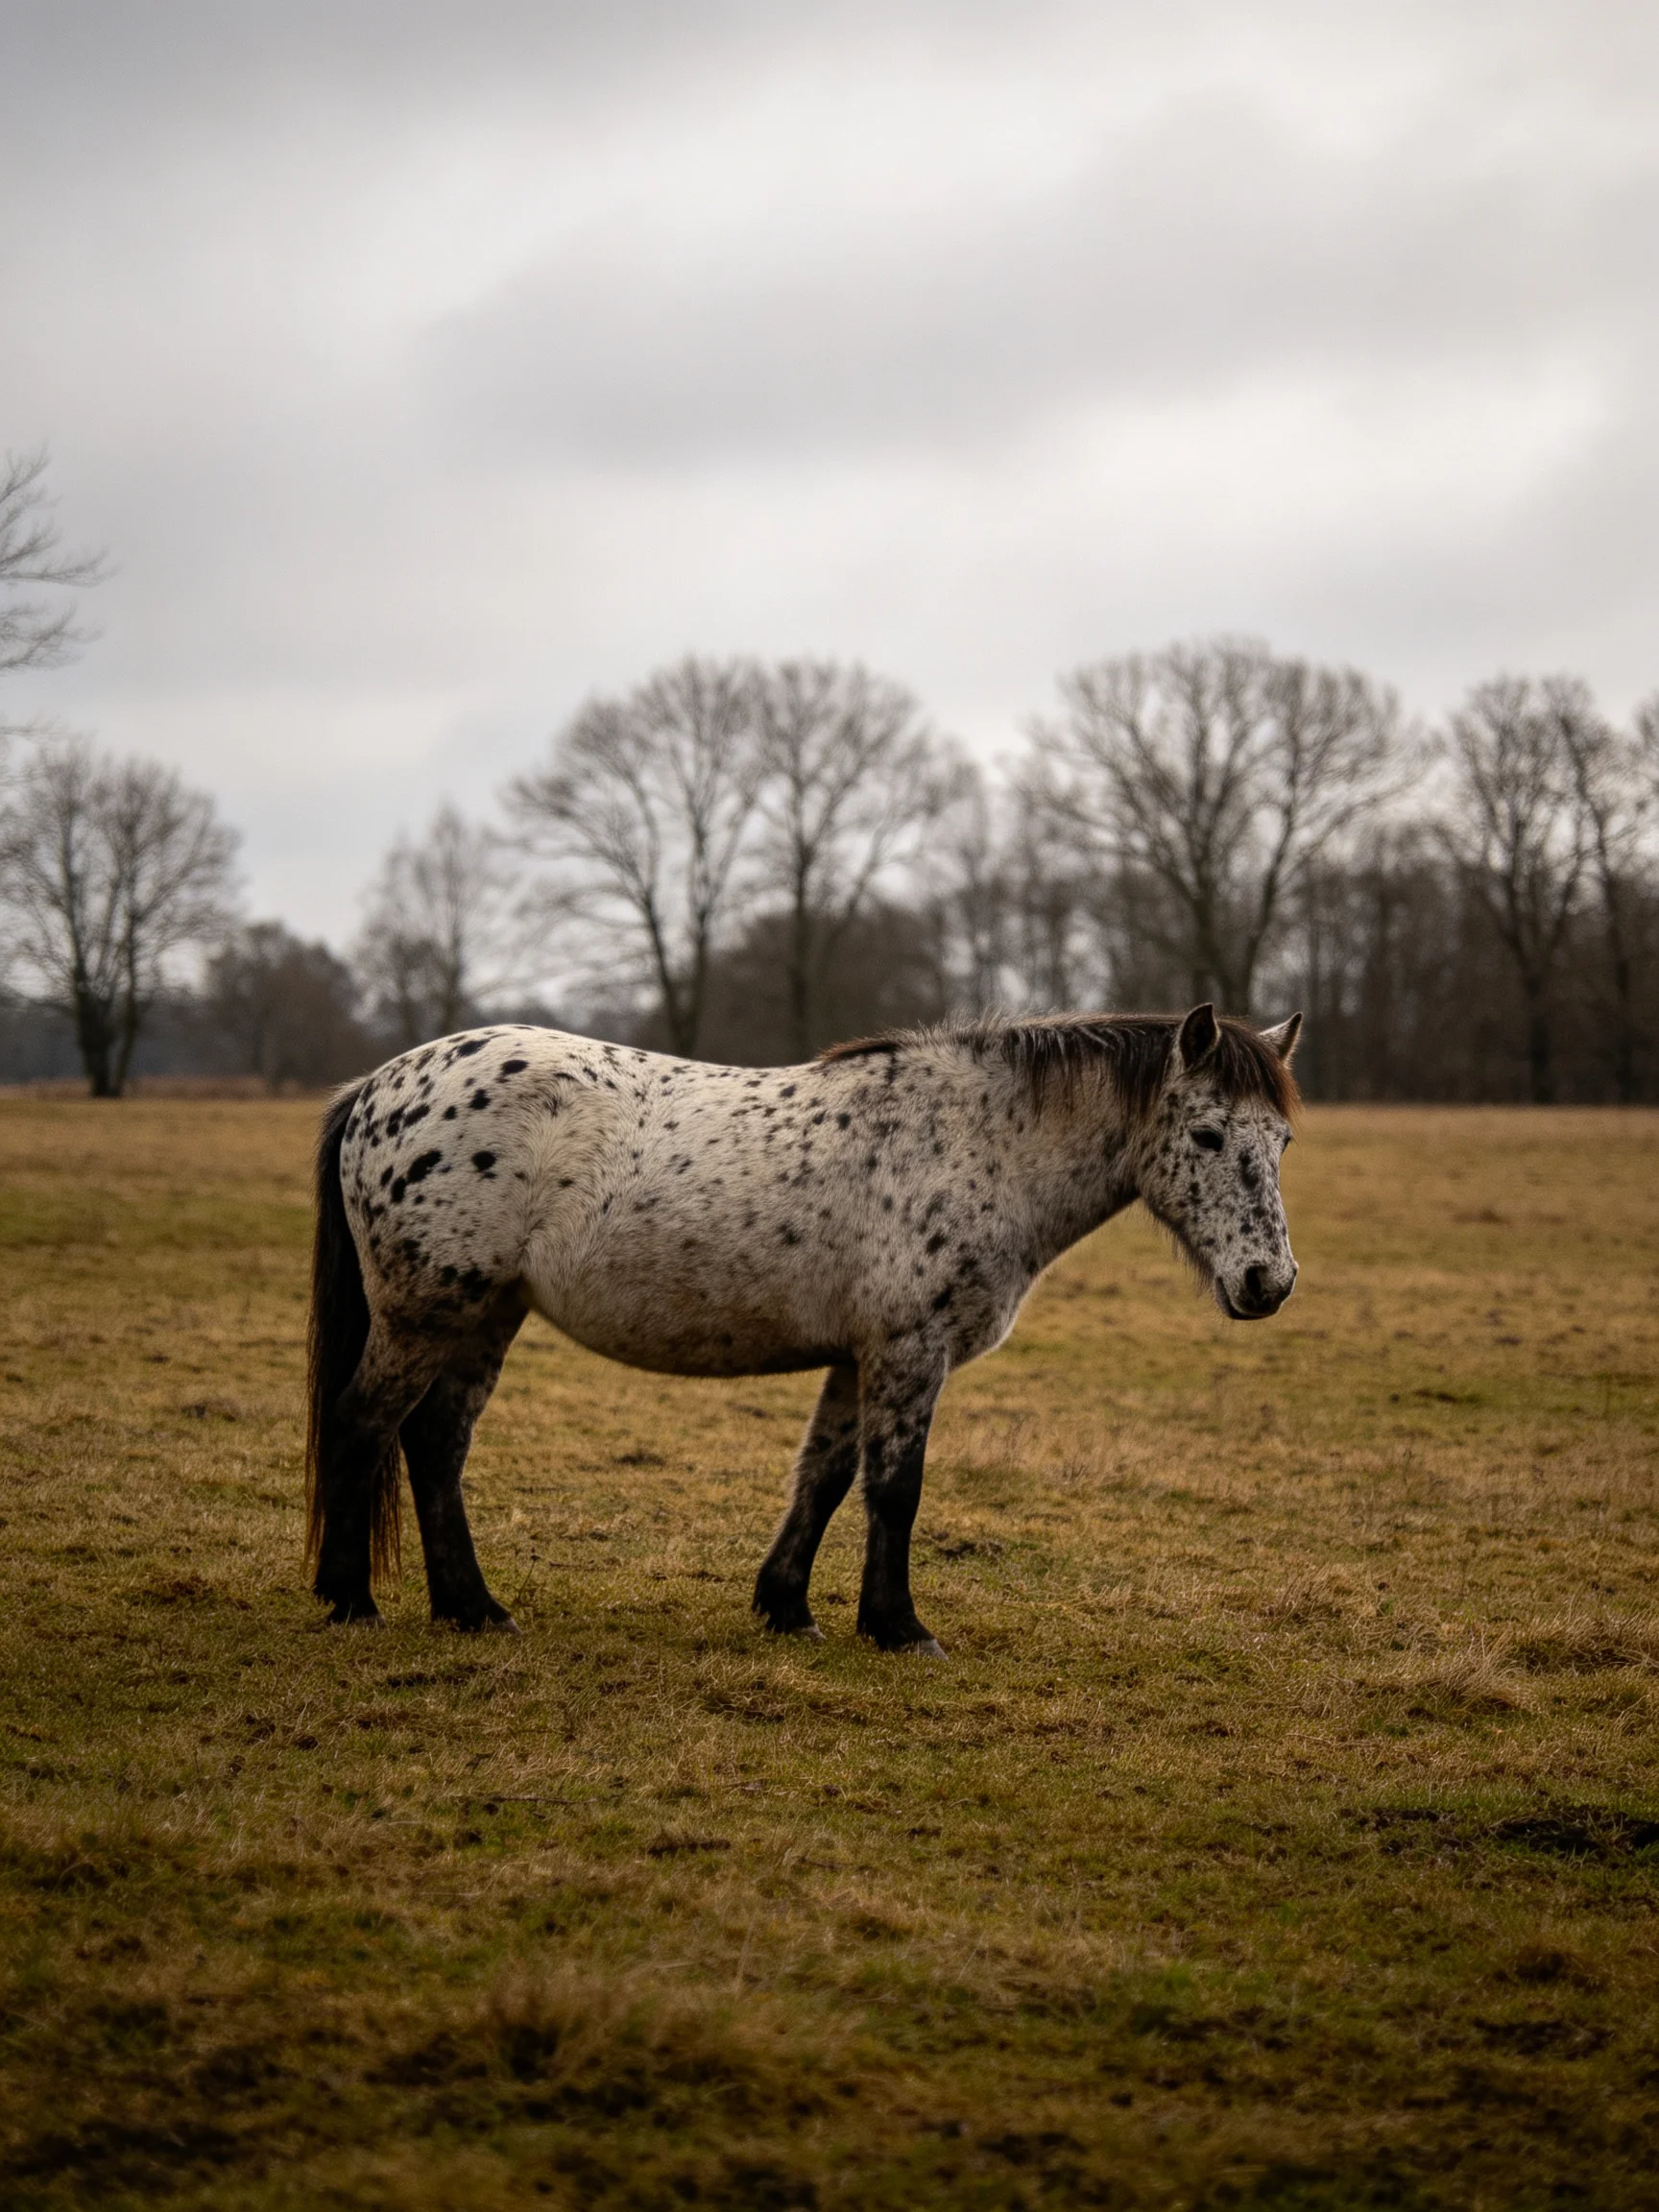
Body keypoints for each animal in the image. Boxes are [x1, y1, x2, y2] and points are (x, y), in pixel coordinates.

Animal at [306, 1001, 1301, 1654]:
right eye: (1208, 1136)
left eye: (1282, 1141)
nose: (1269, 1283)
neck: (977, 1143)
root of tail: (377, 1087)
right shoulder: (909, 1350)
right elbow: (895, 1488)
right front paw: (899, 1628)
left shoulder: (858, 1359)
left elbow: (822, 1478)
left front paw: (787, 1607)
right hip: (427, 1312)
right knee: (364, 1425)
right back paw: (353, 1602)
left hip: (484, 1315)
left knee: (434, 1443)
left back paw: (473, 1609)